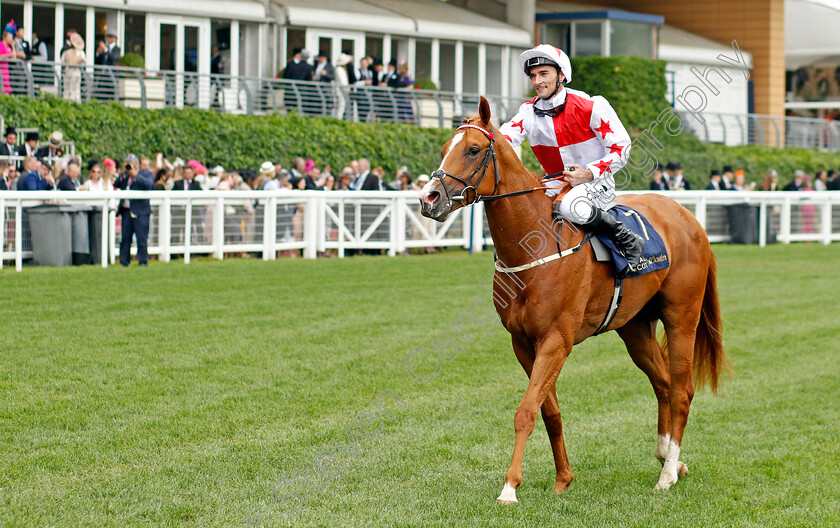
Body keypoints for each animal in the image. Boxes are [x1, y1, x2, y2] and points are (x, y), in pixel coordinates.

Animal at [420, 98, 728, 504]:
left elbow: (526, 411)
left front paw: (509, 487)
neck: (534, 247)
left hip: (682, 316)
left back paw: (666, 476)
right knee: (662, 384)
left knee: (681, 390)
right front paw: (563, 478)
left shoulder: (556, 340)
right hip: (635, 328)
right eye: (444, 148)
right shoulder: (523, 343)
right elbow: (548, 411)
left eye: (472, 149)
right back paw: (669, 460)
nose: (429, 198)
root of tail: (690, 219)